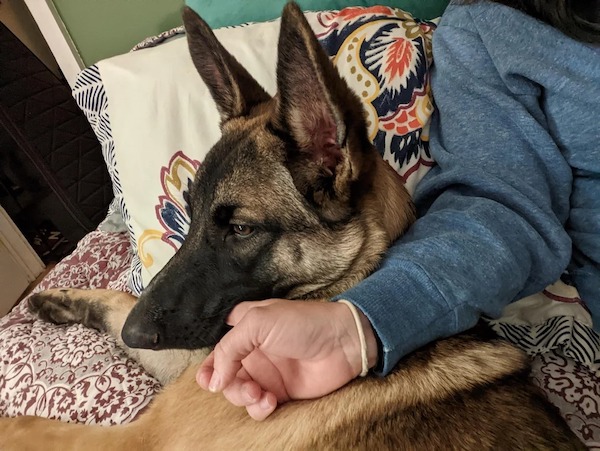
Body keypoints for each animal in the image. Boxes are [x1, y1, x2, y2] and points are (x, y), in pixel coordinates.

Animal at [0, 3, 584, 451]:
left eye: (240, 230)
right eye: (189, 212)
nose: (137, 334)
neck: (352, 277)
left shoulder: (137, 436)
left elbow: (23, 425)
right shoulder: (200, 359)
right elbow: (122, 305)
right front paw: (65, 300)